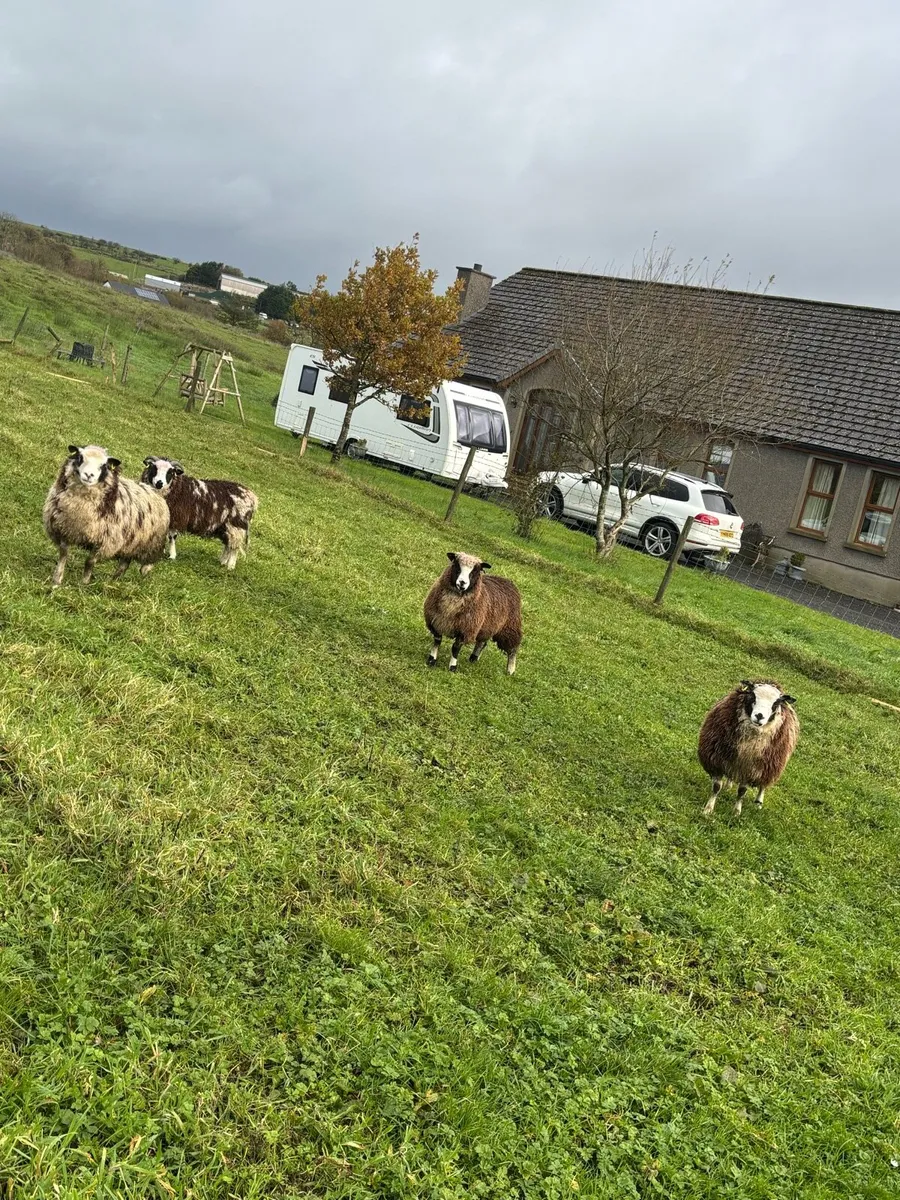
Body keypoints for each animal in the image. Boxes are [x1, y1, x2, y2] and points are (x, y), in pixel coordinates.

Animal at [43, 444, 170, 588]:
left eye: (104, 465)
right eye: (80, 457)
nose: (89, 475)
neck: (80, 508)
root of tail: (152, 490)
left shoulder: (105, 541)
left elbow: (89, 562)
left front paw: (84, 583)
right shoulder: (64, 529)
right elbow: (63, 556)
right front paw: (56, 581)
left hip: (151, 543)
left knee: (148, 561)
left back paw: (144, 571)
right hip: (131, 542)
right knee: (125, 563)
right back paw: (113, 580)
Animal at [698, 679, 799, 816]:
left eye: (776, 703)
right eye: (752, 695)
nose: (759, 716)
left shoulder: (751, 768)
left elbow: (742, 791)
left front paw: (736, 812)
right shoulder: (718, 760)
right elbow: (716, 787)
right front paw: (708, 809)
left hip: (771, 763)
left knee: (763, 785)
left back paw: (758, 802)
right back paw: (728, 785)